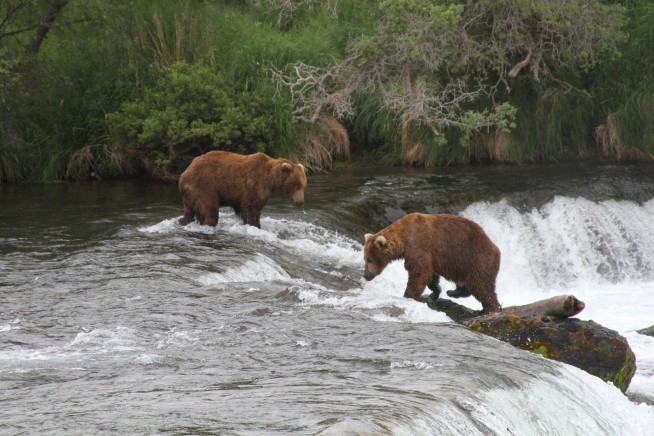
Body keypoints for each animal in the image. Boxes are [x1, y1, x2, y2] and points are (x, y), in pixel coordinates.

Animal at [178, 150, 307, 228]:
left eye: (304, 185)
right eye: (296, 185)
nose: (300, 202)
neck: (270, 179)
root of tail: (183, 174)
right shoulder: (255, 184)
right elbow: (251, 208)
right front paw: (255, 225)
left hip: (190, 195)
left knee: (189, 212)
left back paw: (182, 221)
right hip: (204, 186)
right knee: (209, 211)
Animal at [363, 213, 502, 313]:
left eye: (369, 259)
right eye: (365, 259)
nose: (366, 276)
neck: (404, 238)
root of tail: (496, 249)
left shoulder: (419, 246)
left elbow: (419, 273)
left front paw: (408, 295)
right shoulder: (430, 256)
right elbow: (431, 275)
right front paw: (434, 293)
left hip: (476, 259)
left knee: (482, 285)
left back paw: (490, 308)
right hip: (462, 266)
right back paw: (453, 292)